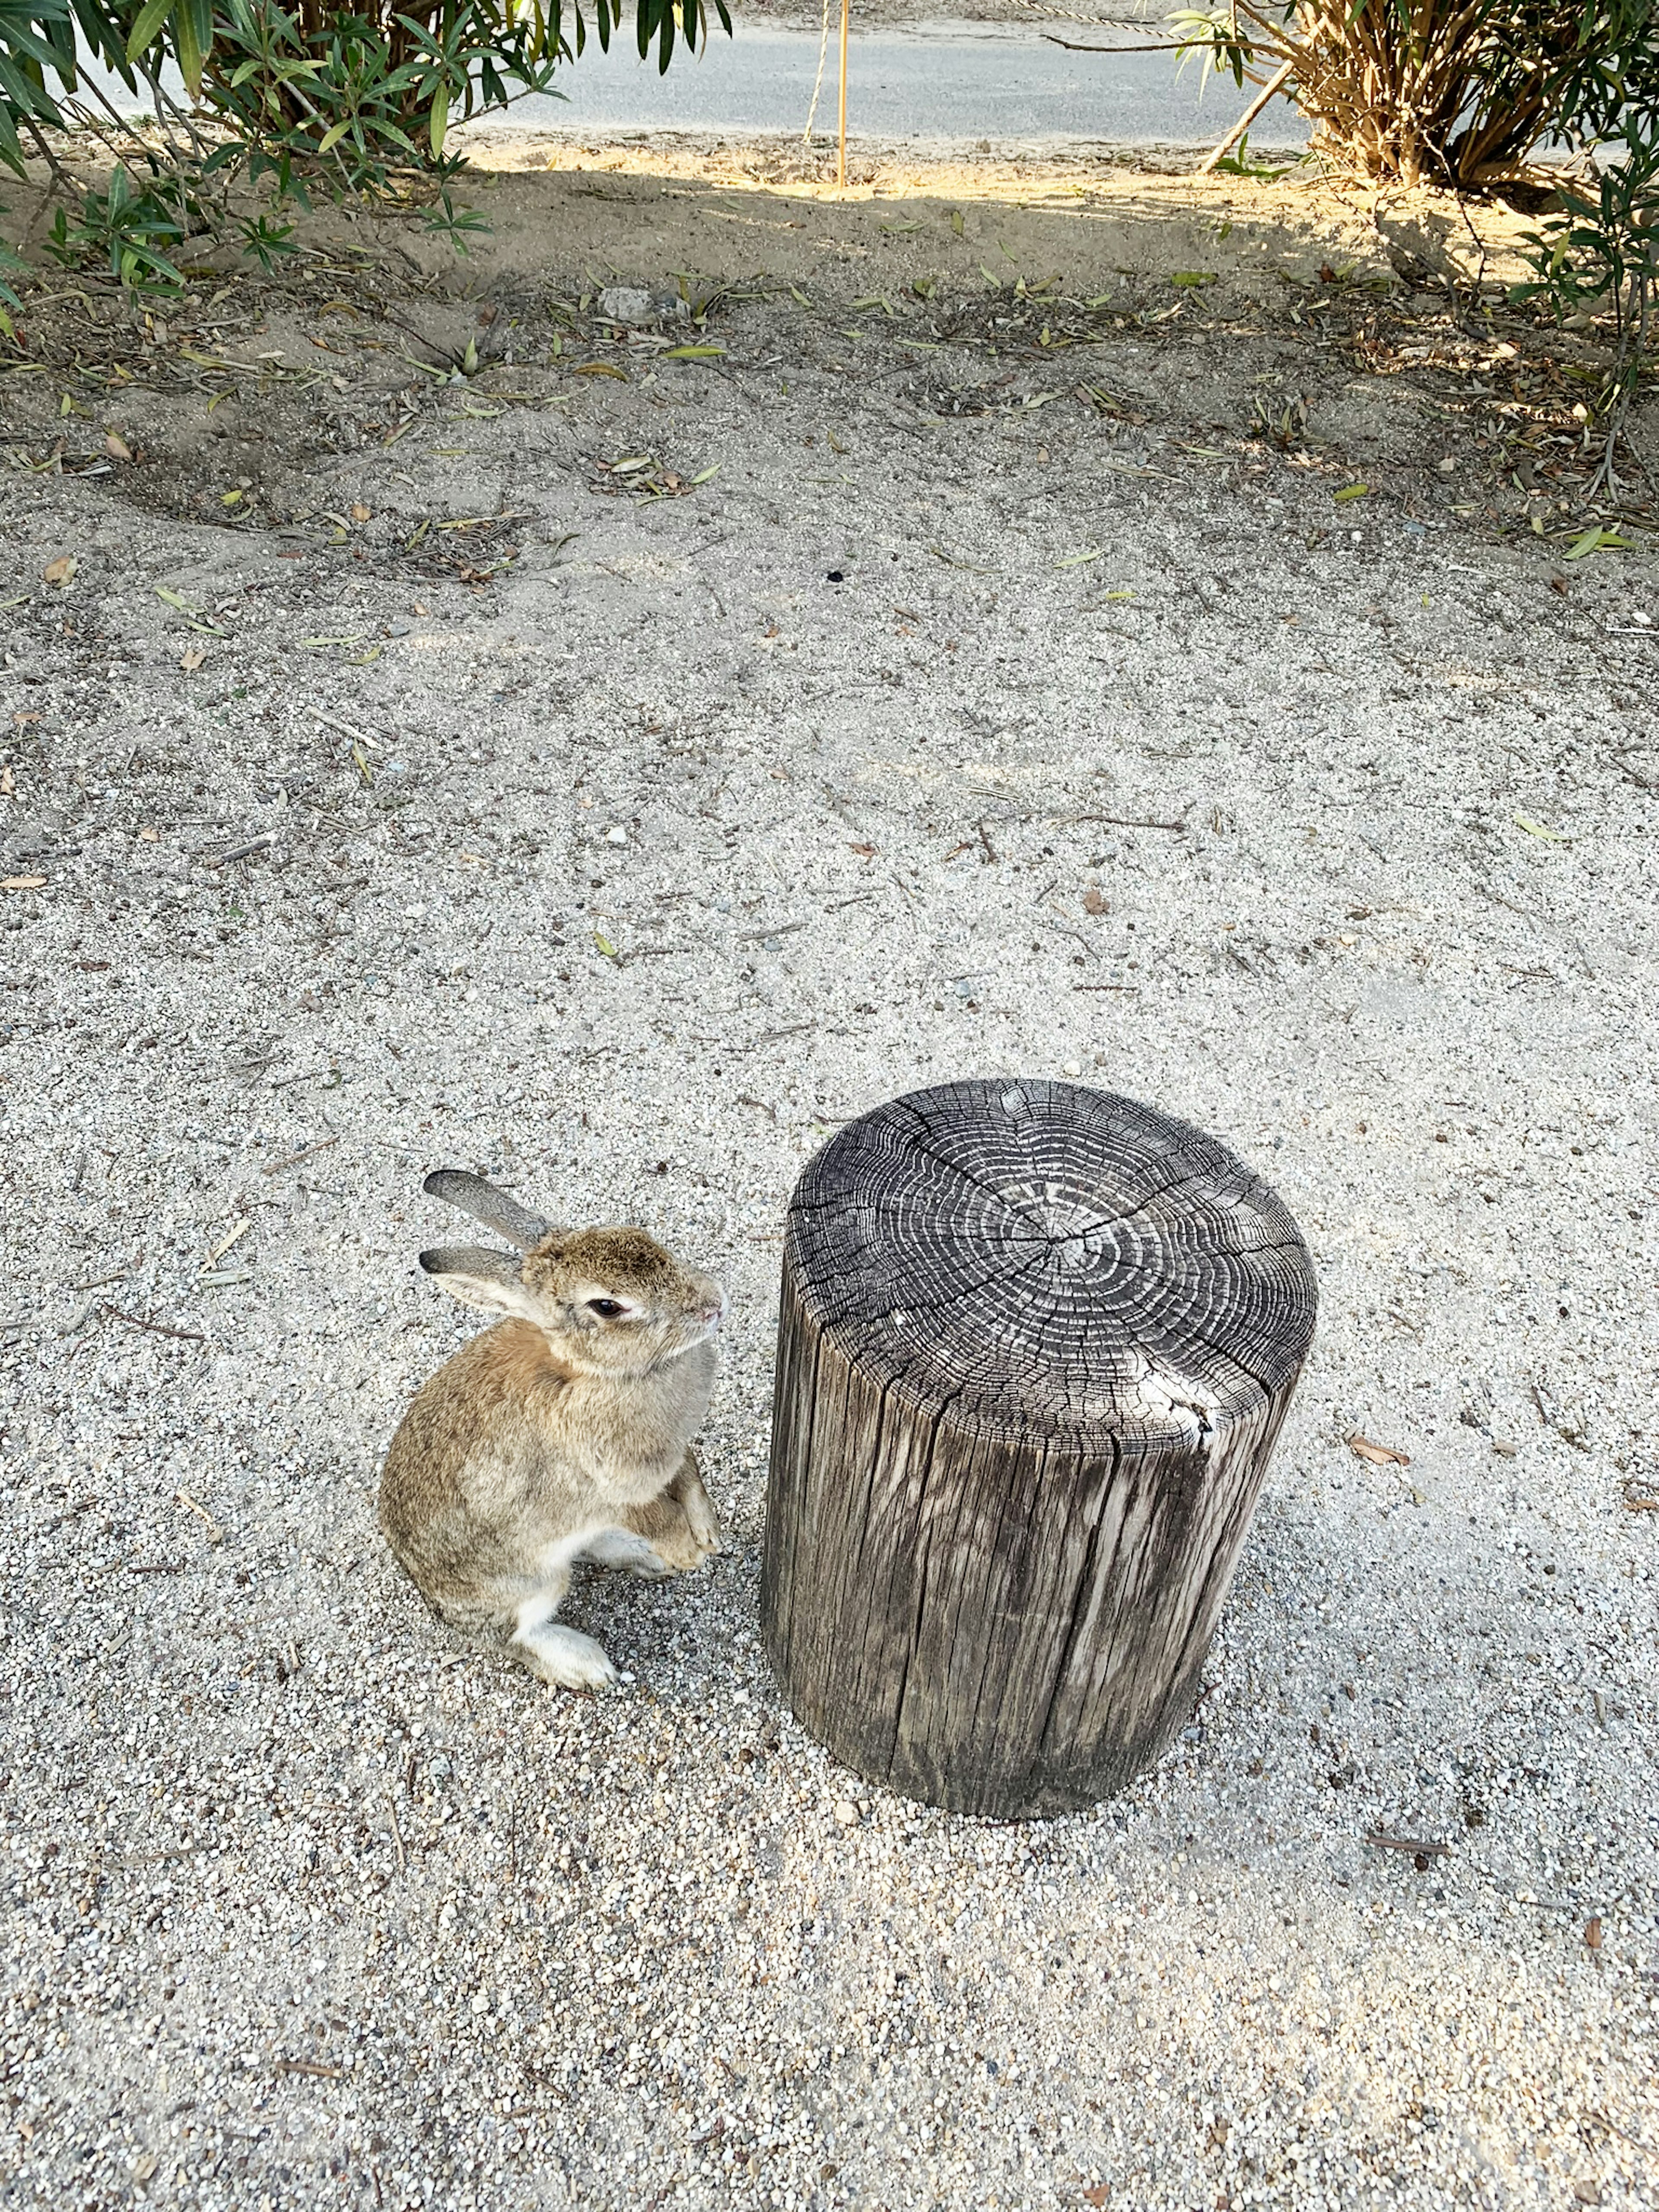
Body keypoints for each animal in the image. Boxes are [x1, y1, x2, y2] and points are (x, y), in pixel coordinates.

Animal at [387, 1176, 730, 1690]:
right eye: (608, 1306)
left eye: (641, 1235)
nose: (714, 1303)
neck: (601, 1372)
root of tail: (428, 1593)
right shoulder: (613, 1487)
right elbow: (658, 1516)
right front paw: (688, 1553)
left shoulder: (674, 1454)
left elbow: (691, 1477)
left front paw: (708, 1535)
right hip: (531, 1581)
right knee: (512, 1638)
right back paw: (587, 1664)